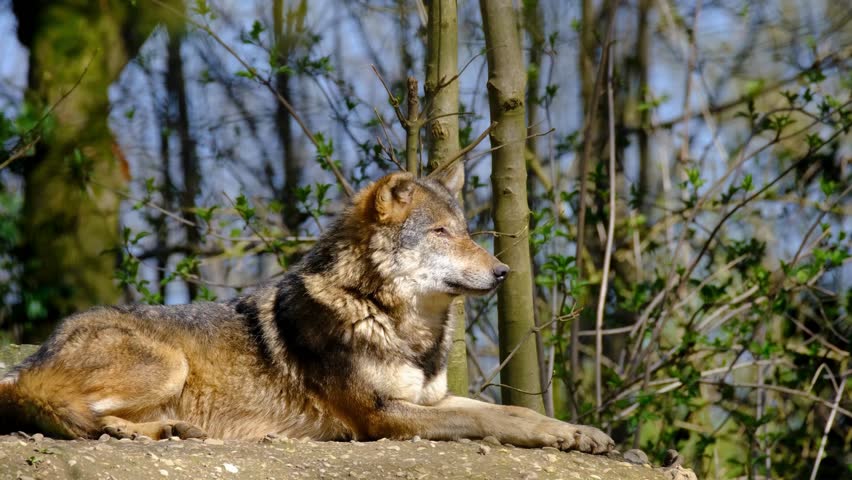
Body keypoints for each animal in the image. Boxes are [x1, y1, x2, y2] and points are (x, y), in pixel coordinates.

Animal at [0, 164, 613, 454]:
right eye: (441, 233)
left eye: (467, 231)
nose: (504, 272)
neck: (383, 313)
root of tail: (30, 362)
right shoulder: (382, 416)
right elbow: (490, 418)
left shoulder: (430, 397)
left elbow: (516, 412)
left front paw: (579, 433)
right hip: (168, 364)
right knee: (82, 416)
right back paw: (148, 431)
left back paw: (165, 429)